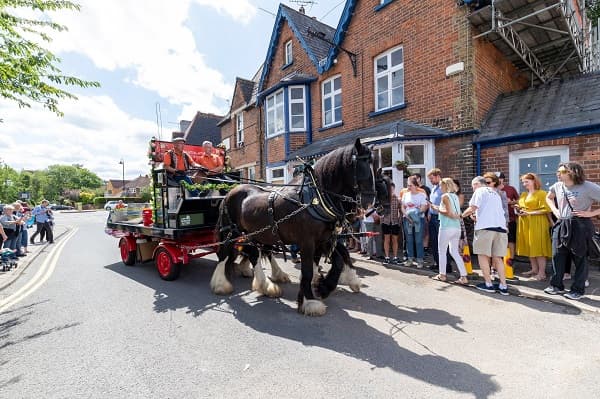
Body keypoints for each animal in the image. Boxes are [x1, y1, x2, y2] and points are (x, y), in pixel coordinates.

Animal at [211, 139, 376, 318]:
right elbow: (309, 270)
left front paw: (323, 287)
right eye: (360, 165)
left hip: (254, 234)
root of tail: (229, 193)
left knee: (256, 253)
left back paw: (267, 283)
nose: (369, 203)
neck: (315, 199)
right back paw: (221, 284)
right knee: (225, 254)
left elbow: (337, 260)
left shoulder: (324, 240)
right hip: (231, 232)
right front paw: (310, 301)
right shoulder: (307, 242)